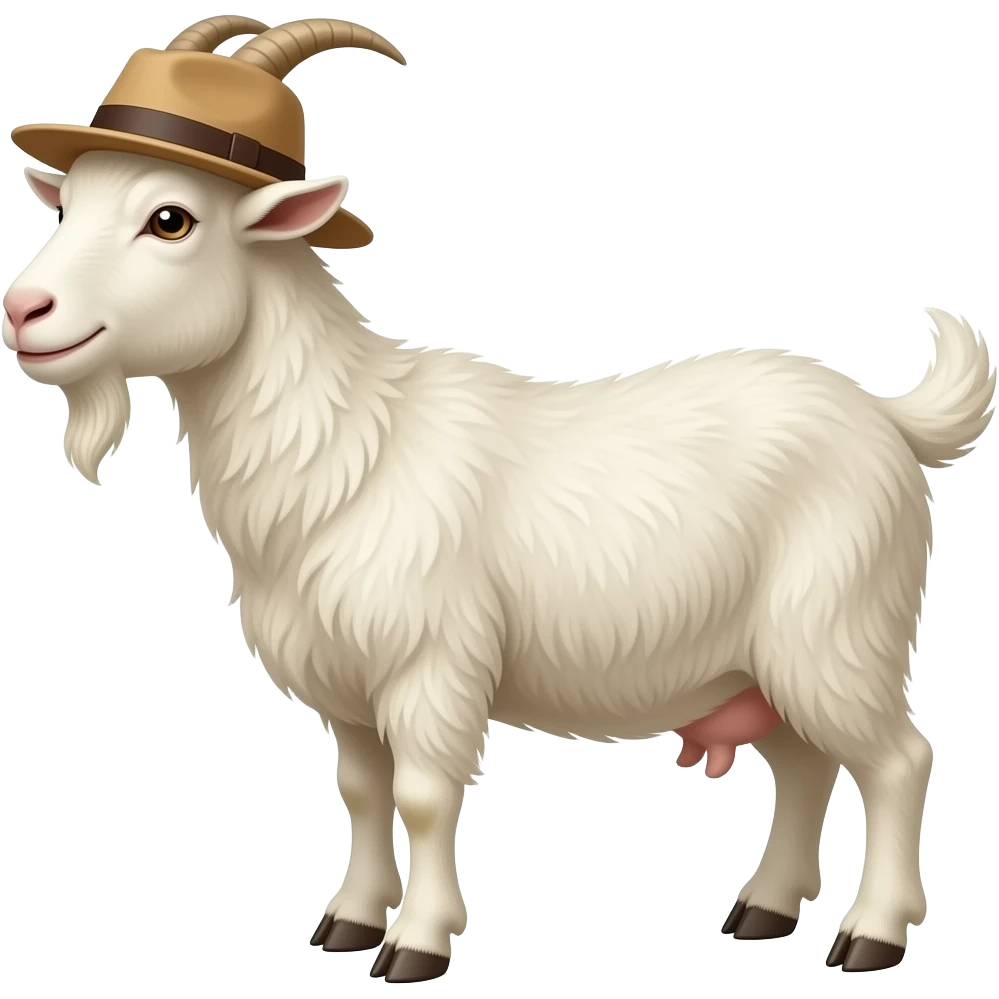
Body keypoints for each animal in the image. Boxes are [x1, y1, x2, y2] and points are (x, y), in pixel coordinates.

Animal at [3, 26, 995, 987]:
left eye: (170, 218)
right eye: (66, 205)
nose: (23, 307)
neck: (348, 445)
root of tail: (886, 418)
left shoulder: (429, 662)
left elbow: (422, 795)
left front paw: (416, 943)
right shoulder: (345, 681)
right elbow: (361, 790)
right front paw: (348, 920)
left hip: (834, 627)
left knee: (897, 759)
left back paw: (871, 934)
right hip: (760, 659)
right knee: (805, 763)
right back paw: (764, 909)